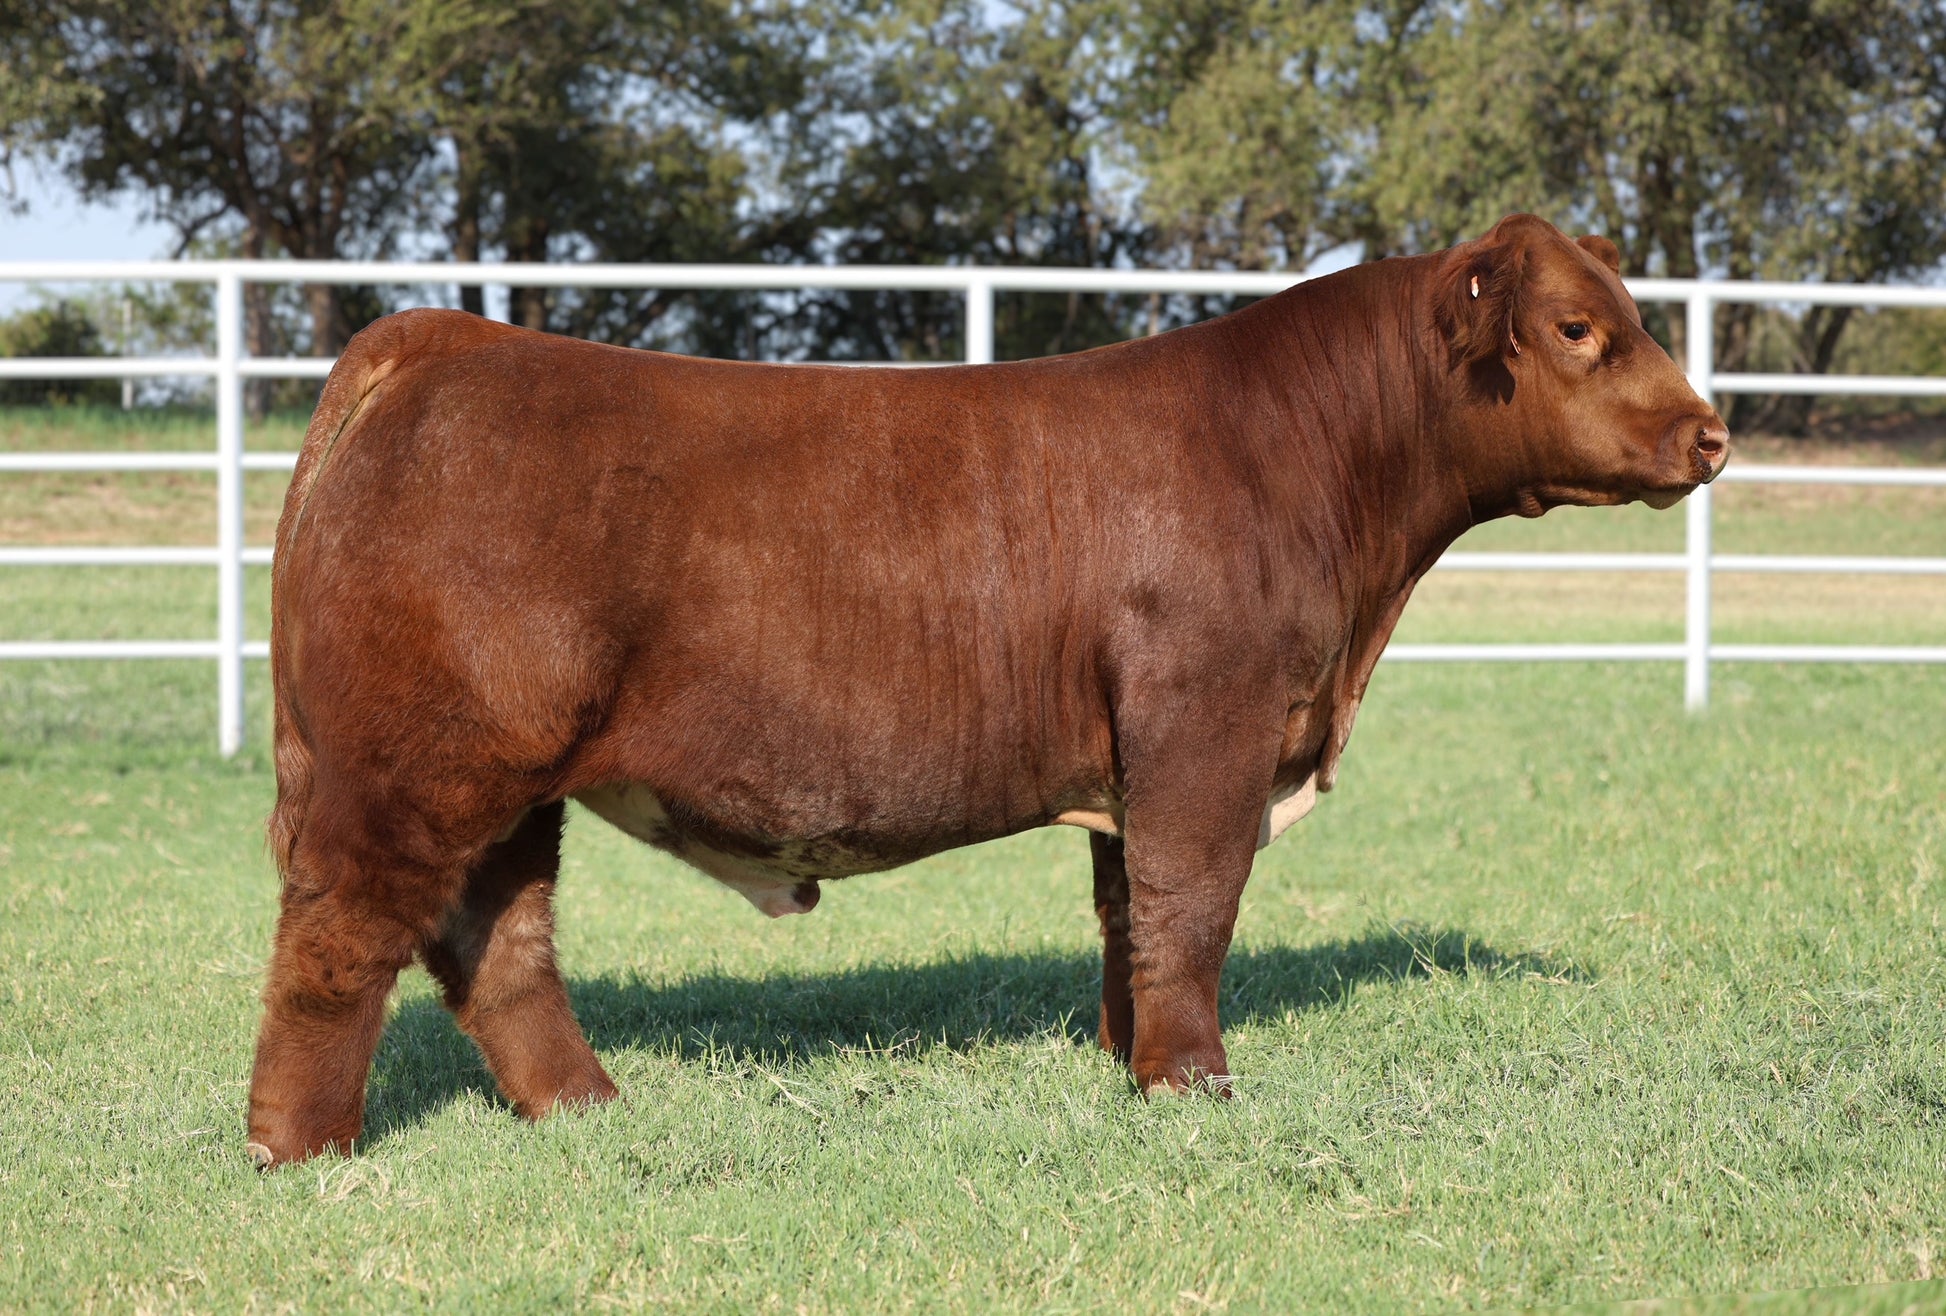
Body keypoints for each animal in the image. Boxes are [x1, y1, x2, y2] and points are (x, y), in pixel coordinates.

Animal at [245, 213, 1728, 1166]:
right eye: (1578, 327)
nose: (1707, 431)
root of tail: (441, 341)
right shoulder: (1204, 720)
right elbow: (1191, 903)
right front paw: (1195, 1088)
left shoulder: (1141, 751)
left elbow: (1129, 914)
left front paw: (1131, 1067)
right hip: (418, 761)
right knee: (342, 930)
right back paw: (302, 1147)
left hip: (504, 778)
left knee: (497, 937)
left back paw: (584, 1108)